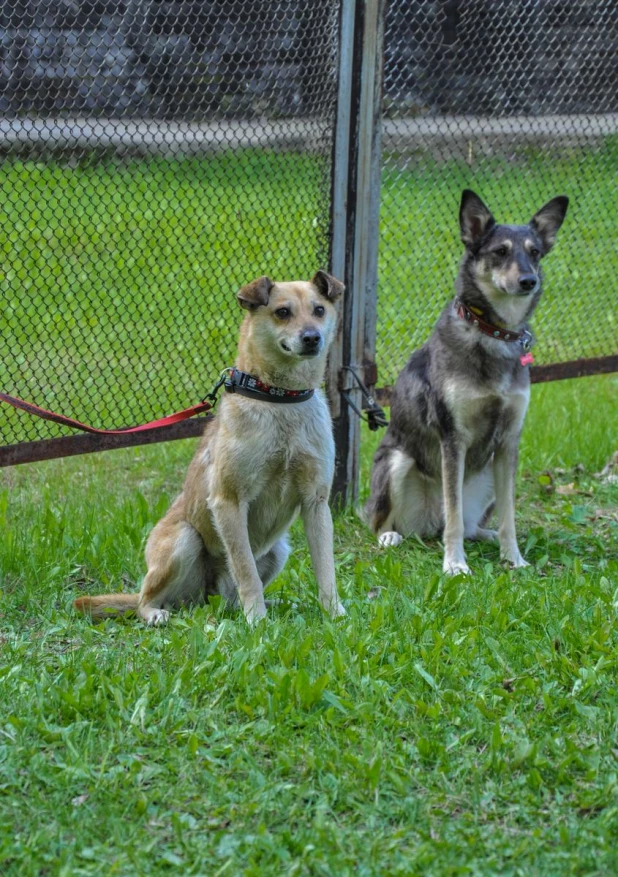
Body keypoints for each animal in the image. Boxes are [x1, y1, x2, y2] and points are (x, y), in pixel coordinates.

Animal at [74, 272, 344, 624]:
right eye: (283, 312)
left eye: (319, 310)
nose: (312, 338)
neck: (280, 399)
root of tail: (208, 596)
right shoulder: (228, 501)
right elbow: (246, 570)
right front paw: (257, 619)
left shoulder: (316, 502)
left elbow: (326, 568)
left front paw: (333, 612)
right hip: (183, 541)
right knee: (146, 599)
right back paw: (156, 613)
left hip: (279, 550)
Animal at [360, 190, 568, 576]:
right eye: (499, 251)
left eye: (534, 252)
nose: (528, 281)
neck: (493, 333)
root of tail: (429, 523)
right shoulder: (453, 438)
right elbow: (454, 515)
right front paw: (455, 565)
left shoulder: (509, 441)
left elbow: (509, 515)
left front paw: (514, 557)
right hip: (396, 461)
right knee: (390, 522)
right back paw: (391, 536)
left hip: (486, 476)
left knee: (472, 525)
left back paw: (487, 536)